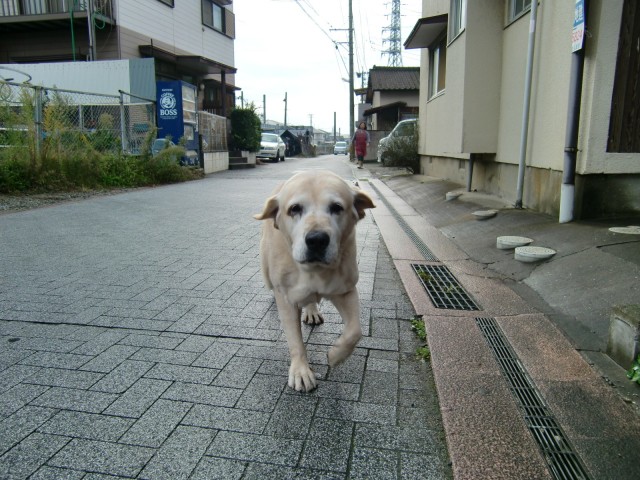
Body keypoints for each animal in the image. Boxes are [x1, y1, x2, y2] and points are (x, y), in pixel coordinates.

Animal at [254, 171, 376, 392]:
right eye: (295, 209)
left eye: (337, 207)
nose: (317, 239)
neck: (314, 271)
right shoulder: (287, 299)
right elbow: (295, 339)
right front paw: (301, 372)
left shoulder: (346, 290)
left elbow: (355, 331)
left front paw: (336, 355)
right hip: (267, 272)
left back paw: (311, 311)